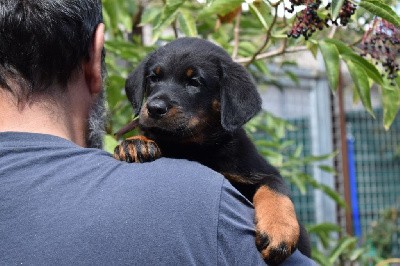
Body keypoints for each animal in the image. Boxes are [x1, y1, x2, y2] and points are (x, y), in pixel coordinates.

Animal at [114, 37, 310, 264]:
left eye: (194, 82)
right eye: (153, 78)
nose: (154, 108)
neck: (196, 148)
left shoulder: (260, 170)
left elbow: (274, 189)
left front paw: (279, 230)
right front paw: (136, 142)